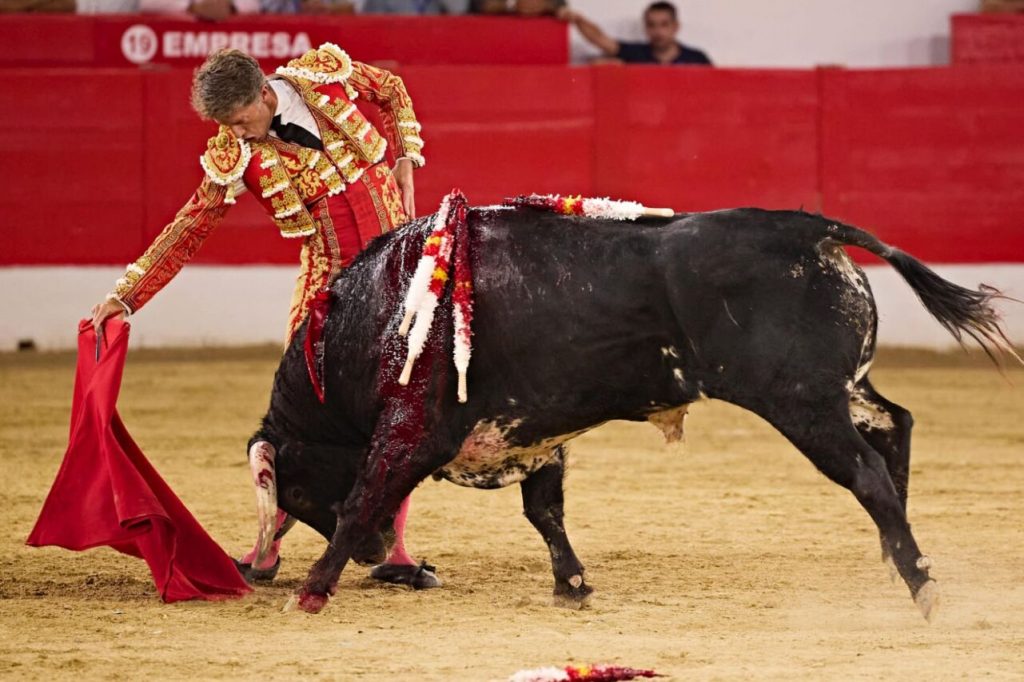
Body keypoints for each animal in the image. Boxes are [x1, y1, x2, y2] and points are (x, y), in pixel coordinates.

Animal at [243, 205, 1011, 614]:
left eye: (297, 488)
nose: (382, 555)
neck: (374, 320)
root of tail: (808, 226)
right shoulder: (534, 430)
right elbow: (545, 511)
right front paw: (574, 587)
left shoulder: (411, 432)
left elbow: (362, 498)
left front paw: (310, 592)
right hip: (841, 388)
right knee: (896, 427)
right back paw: (899, 557)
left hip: (803, 404)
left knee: (867, 472)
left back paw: (922, 585)